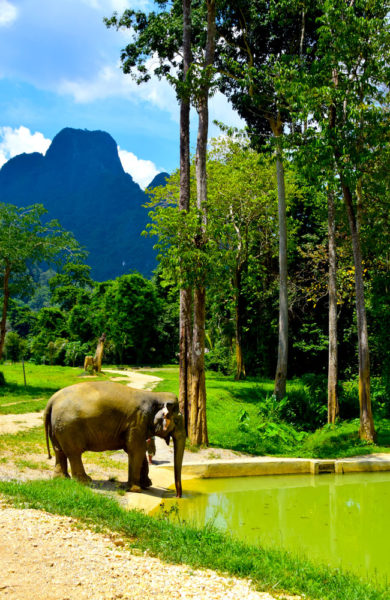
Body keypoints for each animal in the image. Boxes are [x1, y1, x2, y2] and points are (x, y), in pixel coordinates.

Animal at [44, 384, 186, 496]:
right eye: (177, 421)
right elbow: (136, 450)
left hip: (58, 427)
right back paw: (85, 481)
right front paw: (135, 489)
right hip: (68, 426)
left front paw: (147, 484)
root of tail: (52, 400)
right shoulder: (137, 422)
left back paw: (61, 479)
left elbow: (139, 451)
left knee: (59, 451)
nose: (178, 496)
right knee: (74, 453)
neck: (156, 396)